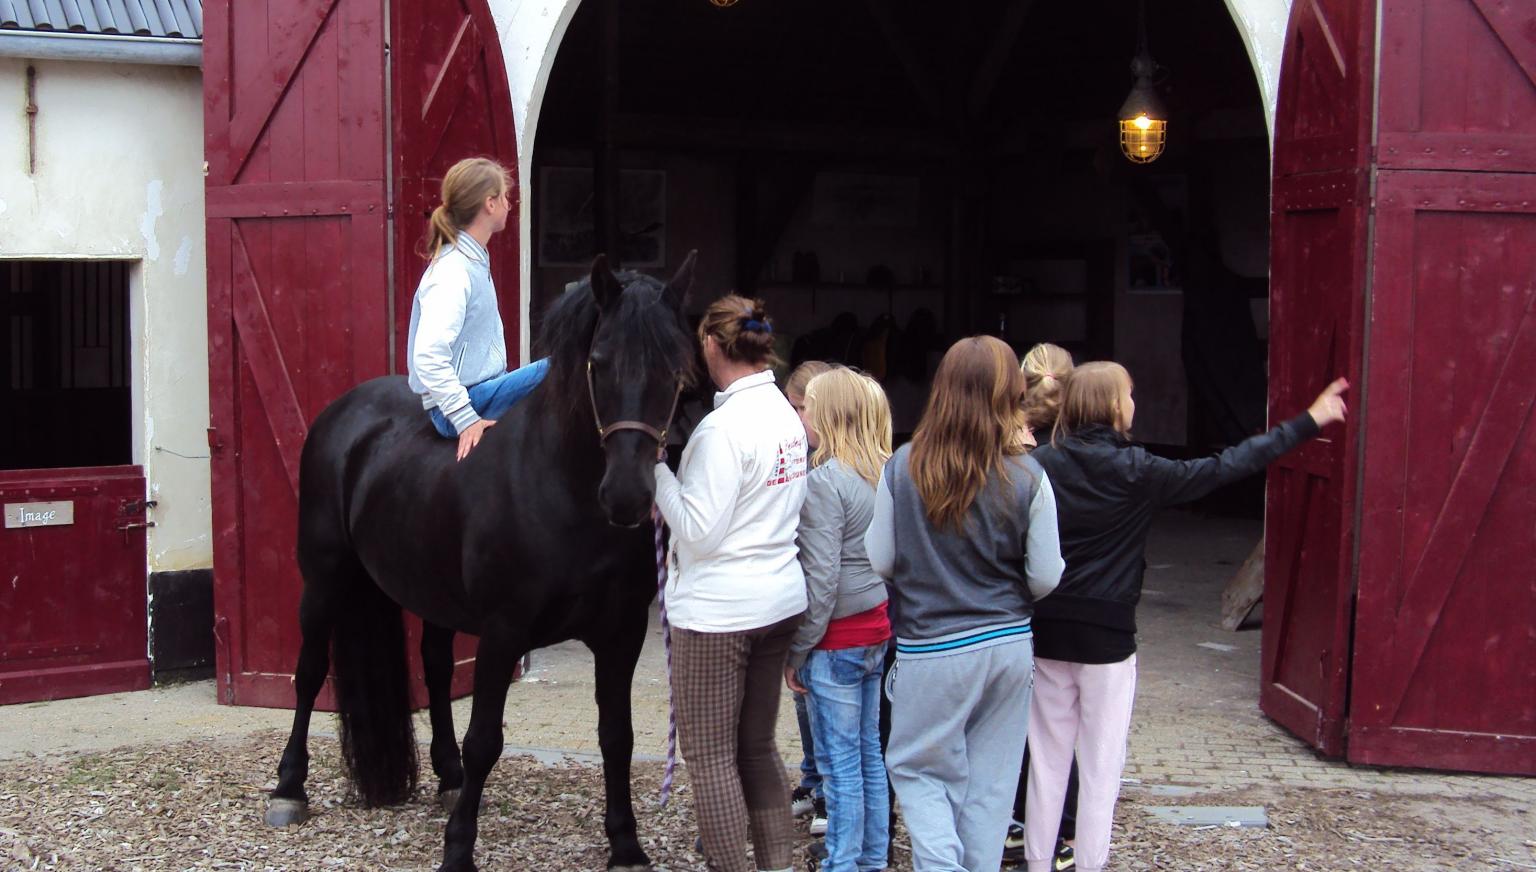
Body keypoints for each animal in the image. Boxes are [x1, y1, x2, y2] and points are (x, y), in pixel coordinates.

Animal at [264, 251, 697, 872]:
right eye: (599, 363)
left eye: (676, 370)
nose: (627, 497)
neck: (562, 489)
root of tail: (344, 414)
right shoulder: (503, 632)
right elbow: (486, 739)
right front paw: (458, 850)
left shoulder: (621, 633)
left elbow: (617, 734)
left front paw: (626, 845)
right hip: (324, 579)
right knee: (308, 674)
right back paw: (288, 789)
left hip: (432, 593)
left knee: (437, 669)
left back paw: (448, 779)